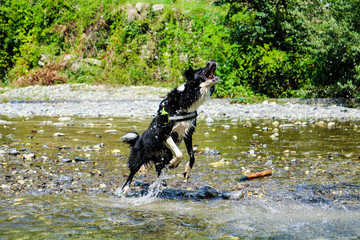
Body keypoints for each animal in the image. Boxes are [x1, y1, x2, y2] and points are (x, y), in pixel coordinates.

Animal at [117, 59, 219, 195]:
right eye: (201, 69)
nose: (212, 60)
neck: (186, 99)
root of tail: (137, 140)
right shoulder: (164, 132)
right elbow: (179, 153)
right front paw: (174, 163)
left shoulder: (188, 133)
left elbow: (192, 156)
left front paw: (186, 171)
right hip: (139, 157)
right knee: (132, 172)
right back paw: (126, 188)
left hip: (163, 155)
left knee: (159, 170)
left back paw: (162, 182)